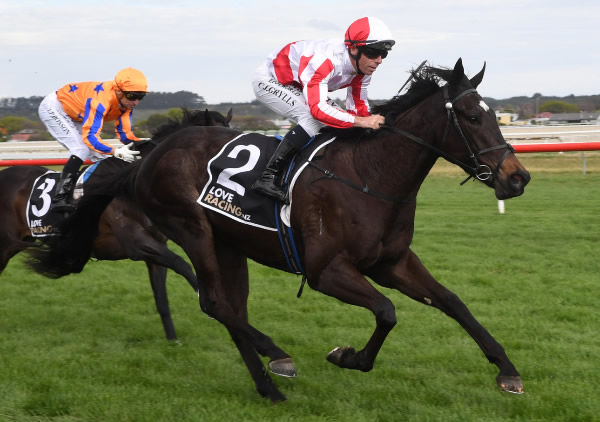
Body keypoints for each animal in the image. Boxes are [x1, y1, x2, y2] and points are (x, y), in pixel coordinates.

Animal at [1, 108, 231, 340]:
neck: (129, 185)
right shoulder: (138, 245)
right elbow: (183, 264)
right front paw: (209, 303)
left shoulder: (155, 250)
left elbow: (162, 298)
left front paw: (173, 339)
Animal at [30, 58, 532, 398]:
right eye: (472, 116)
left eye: (494, 114)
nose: (518, 178)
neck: (370, 174)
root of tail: (149, 154)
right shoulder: (327, 271)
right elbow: (387, 312)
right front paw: (347, 356)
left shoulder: (392, 262)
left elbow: (452, 301)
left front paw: (506, 370)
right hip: (192, 228)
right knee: (215, 302)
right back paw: (273, 375)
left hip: (229, 242)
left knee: (229, 306)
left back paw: (275, 360)